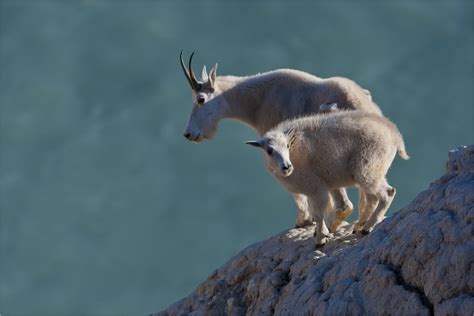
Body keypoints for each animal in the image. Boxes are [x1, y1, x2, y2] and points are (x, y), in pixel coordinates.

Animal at [246, 111, 410, 247]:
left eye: (287, 146)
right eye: (269, 150)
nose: (287, 167)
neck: (295, 151)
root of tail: (394, 135)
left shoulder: (315, 188)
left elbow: (318, 214)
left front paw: (320, 239)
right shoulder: (328, 185)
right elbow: (336, 208)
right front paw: (325, 233)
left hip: (368, 169)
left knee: (387, 193)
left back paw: (367, 228)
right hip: (374, 171)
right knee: (373, 198)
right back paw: (360, 226)